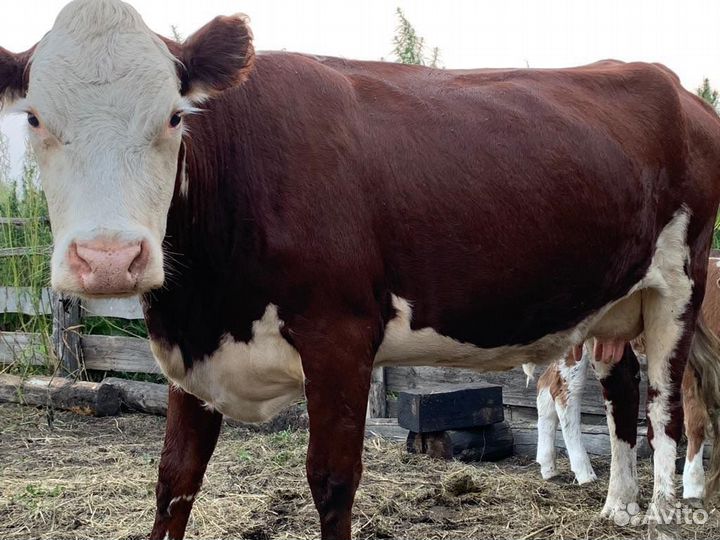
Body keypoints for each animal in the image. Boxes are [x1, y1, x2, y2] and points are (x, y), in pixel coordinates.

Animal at [534, 258, 720, 505]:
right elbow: (696, 422)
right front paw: (693, 486)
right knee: (566, 393)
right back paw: (584, 472)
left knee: (545, 385)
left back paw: (548, 466)